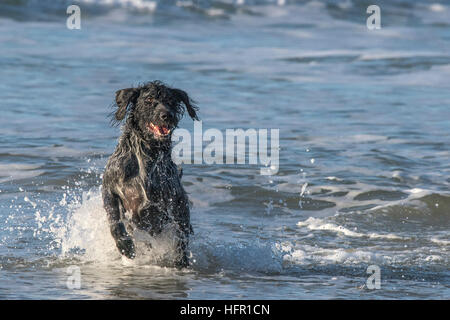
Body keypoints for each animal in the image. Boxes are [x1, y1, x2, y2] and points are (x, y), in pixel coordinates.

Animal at [103, 80, 199, 268]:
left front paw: (180, 259)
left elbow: (180, 234)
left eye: (171, 101)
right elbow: (115, 222)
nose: (167, 115)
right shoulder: (110, 187)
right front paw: (125, 246)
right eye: (148, 100)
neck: (146, 154)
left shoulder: (176, 202)